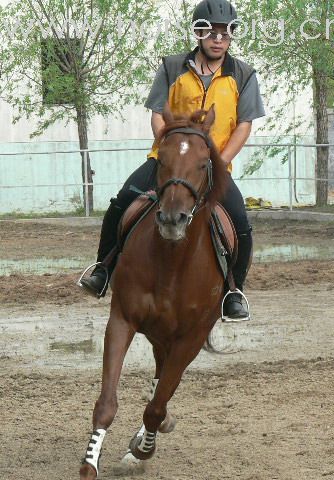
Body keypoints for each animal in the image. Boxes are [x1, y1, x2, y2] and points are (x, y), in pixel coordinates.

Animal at [78, 103, 231, 478]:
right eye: (161, 159)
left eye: (203, 162)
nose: (172, 219)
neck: (172, 262)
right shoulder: (122, 319)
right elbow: (107, 403)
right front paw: (90, 462)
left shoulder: (190, 339)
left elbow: (157, 406)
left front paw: (143, 448)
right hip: (159, 335)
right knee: (160, 376)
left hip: (177, 340)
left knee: (163, 390)